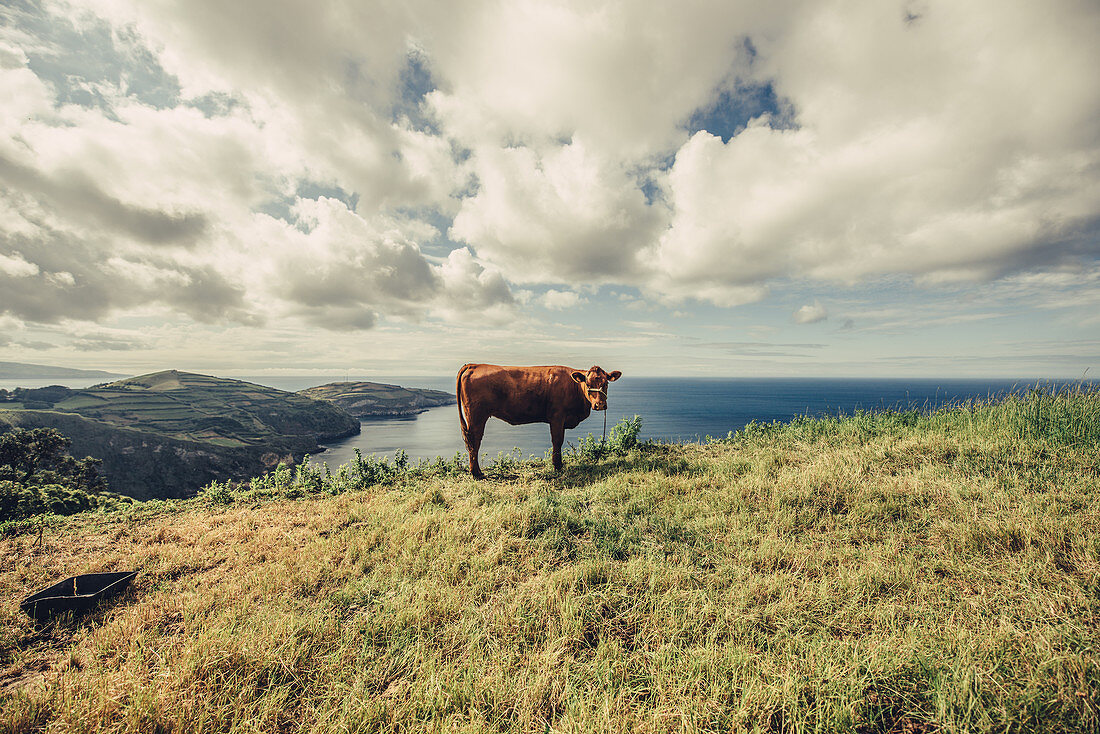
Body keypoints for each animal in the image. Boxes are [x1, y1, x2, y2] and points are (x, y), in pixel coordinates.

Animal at [453, 365, 620, 479]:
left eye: (606, 383)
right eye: (588, 383)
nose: (600, 405)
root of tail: (474, 365)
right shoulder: (557, 416)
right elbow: (557, 441)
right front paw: (557, 466)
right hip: (476, 417)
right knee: (474, 442)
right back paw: (476, 473)